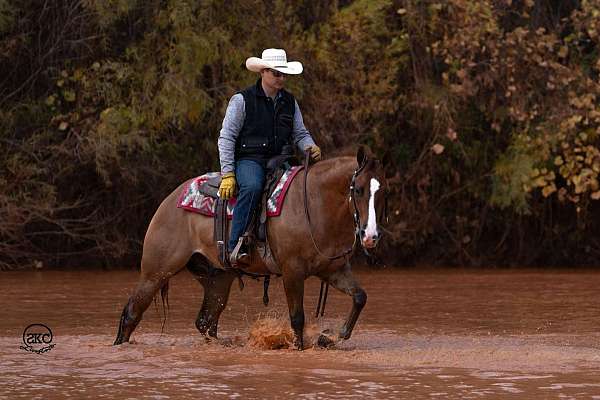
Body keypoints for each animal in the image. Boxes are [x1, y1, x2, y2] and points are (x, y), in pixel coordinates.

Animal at [114, 145, 386, 348]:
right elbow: (297, 319)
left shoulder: (333, 270)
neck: (313, 203)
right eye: (358, 189)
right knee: (132, 313)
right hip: (156, 272)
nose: (370, 236)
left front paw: (335, 335)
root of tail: (168, 201)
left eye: (383, 192)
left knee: (205, 322)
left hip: (217, 279)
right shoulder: (292, 272)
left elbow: (360, 297)